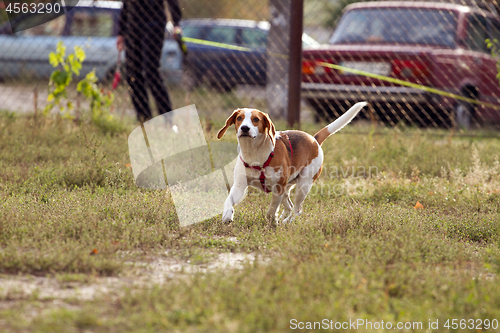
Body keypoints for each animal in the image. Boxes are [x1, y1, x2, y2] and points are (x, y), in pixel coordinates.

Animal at [216, 101, 368, 223]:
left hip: (303, 186)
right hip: (287, 187)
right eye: (239, 118)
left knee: (297, 210)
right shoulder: (240, 186)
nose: (244, 128)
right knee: (289, 206)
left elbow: (271, 210)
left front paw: (272, 222)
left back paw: (287, 222)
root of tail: (314, 139)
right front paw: (227, 215)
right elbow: (228, 200)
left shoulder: (278, 189)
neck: (254, 153)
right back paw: (285, 218)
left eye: (255, 119)